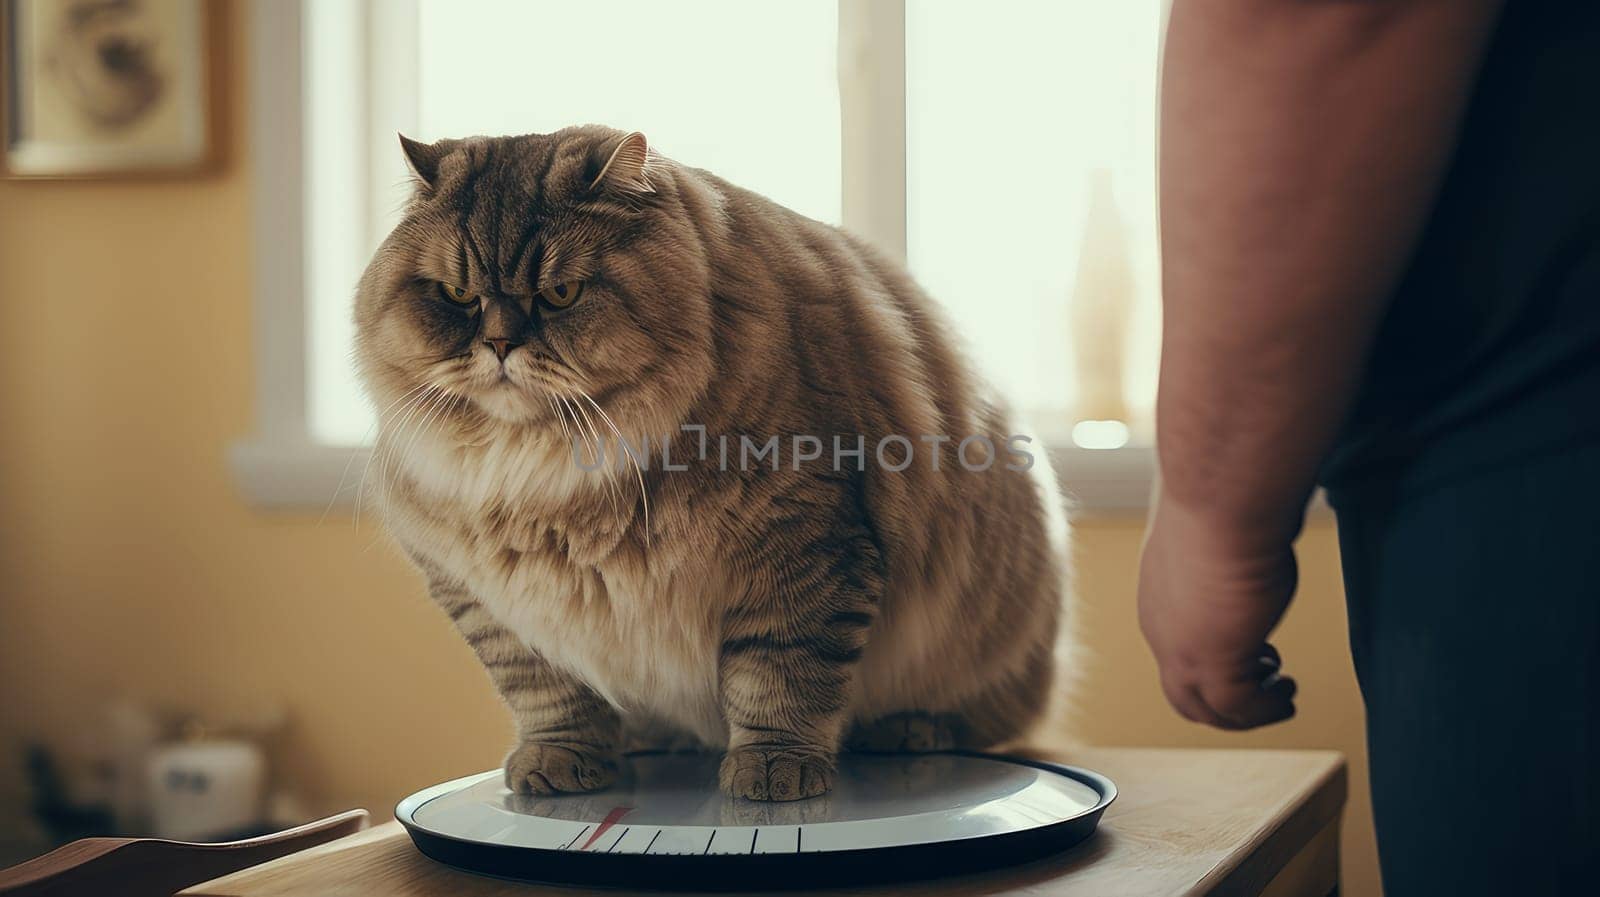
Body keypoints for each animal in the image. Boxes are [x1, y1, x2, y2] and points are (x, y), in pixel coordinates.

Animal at [356, 123, 1068, 796]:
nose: (500, 345)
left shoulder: (803, 553)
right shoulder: (499, 610)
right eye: (456, 294)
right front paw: (559, 765)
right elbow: (550, 700)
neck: (545, 475)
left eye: (560, 293)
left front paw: (774, 774)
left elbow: (779, 681)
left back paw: (907, 732)